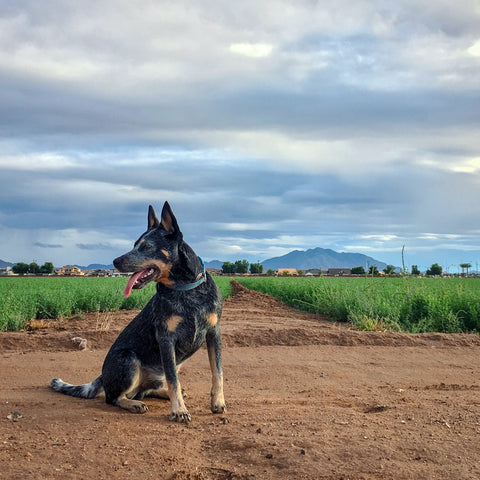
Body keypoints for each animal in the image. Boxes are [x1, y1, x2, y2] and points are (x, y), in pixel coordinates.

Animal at [52, 201, 225, 422]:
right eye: (134, 243)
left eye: (146, 246)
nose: (115, 261)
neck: (186, 289)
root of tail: (102, 377)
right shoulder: (165, 338)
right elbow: (174, 380)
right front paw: (179, 411)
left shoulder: (213, 333)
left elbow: (217, 372)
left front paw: (218, 403)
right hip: (129, 359)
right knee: (114, 397)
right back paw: (134, 404)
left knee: (149, 389)